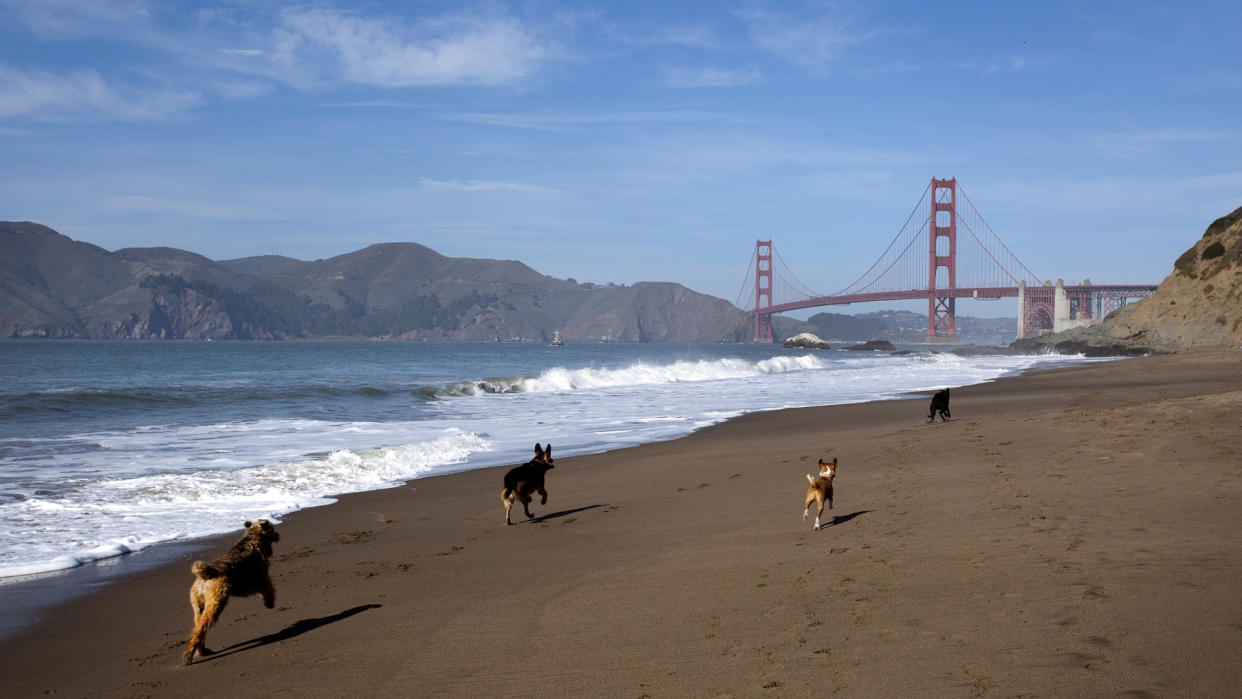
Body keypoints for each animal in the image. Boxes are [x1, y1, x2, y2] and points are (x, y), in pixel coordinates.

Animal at [183, 518, 281, 665]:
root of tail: (205, 576)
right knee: (199, 631)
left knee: (197, 629)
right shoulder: (261, 578)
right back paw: (189, 656)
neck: (252, 537)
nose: (278, 535)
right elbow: (267, 589)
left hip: (198, 606)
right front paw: (270, 602)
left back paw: (203, 651)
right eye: (272, 528)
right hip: (215, 604)